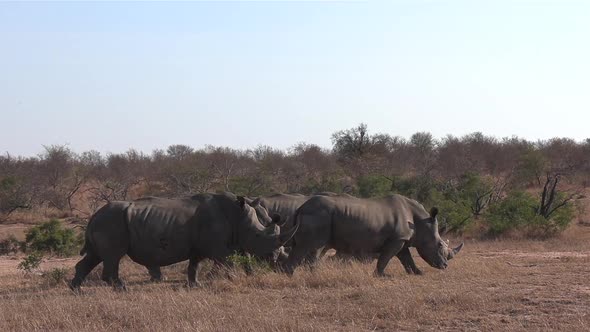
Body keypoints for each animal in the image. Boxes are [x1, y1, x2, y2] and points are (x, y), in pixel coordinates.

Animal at [70, 192, 298, 290]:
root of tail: (93, 216)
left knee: (95, 256)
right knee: (113, 256)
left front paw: (195, 285)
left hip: (106, 222)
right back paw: (122, 288)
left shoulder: (198, 246)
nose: (274, 258)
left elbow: (194, 266)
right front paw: (231, 280)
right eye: (258, 236)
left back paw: (76, 290)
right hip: (111, 222)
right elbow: (226, 261)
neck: (237, 216)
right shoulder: (216, 247)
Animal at [284, 193, 464, 276]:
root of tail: (301, 208)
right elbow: (386, 258)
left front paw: (418, 273)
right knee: (312, 247)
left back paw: (289, 274)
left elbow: (407, 258)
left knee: (308, 247)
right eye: (439, 245)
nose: (445, 266)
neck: (420, 222)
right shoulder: (397, 239)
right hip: (319, 215)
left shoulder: (401, 239)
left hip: (316, 216)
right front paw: (382, 275)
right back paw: (299, 275)